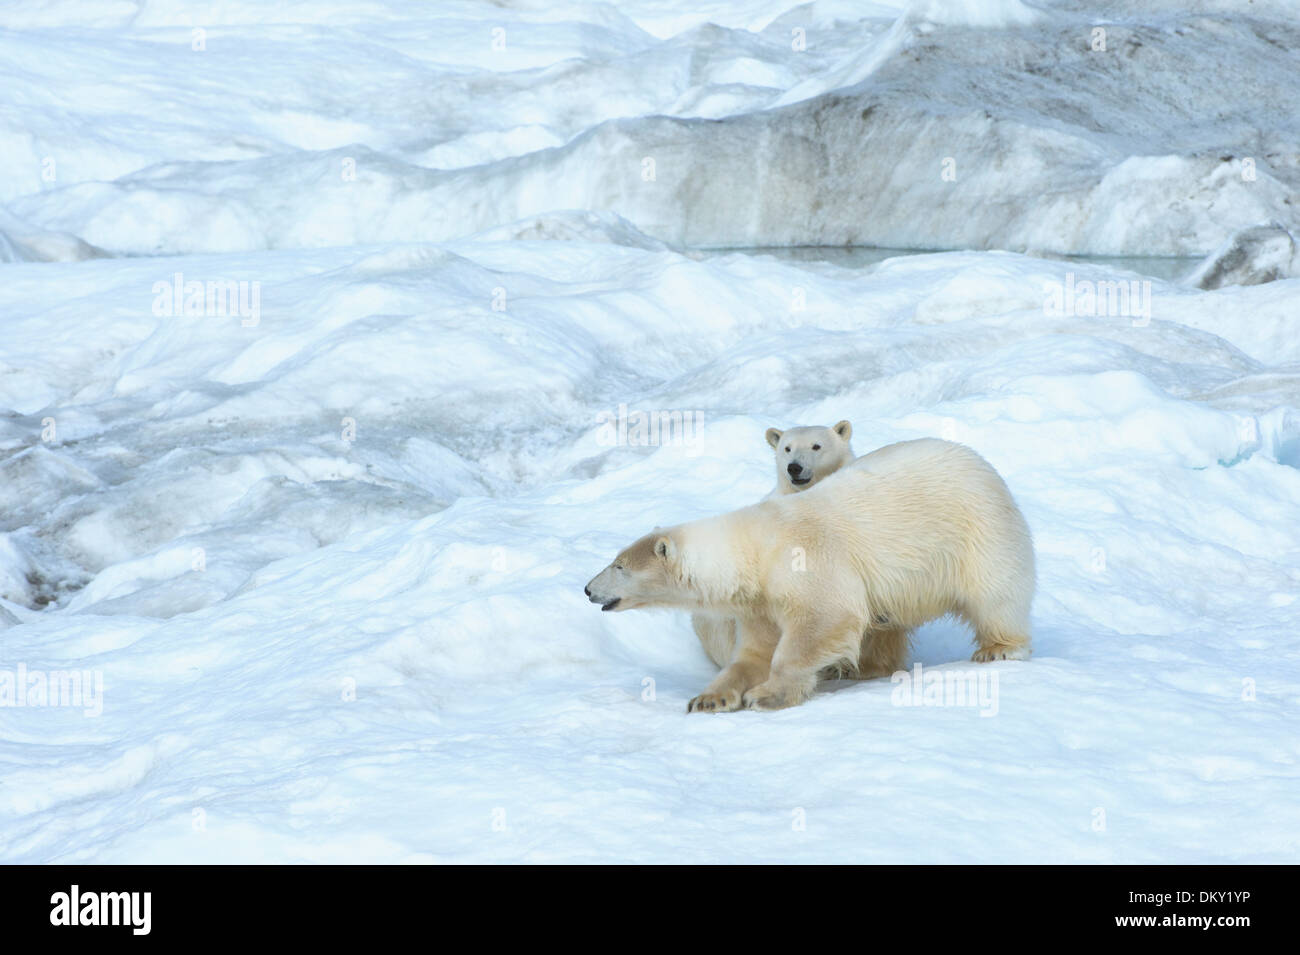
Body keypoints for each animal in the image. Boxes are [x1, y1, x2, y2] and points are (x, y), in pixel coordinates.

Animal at [590, 441, 1034, 712]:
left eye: (619, 566)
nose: (588, 589)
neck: (757, 548)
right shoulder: (759, 603)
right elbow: (753, 653)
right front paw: (709, 698)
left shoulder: (805, 559)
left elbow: (825, 619)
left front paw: (767, 695)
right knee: (884, 622)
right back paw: (863, 666)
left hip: (978, 528)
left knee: (996, 592)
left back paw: (997, 648)